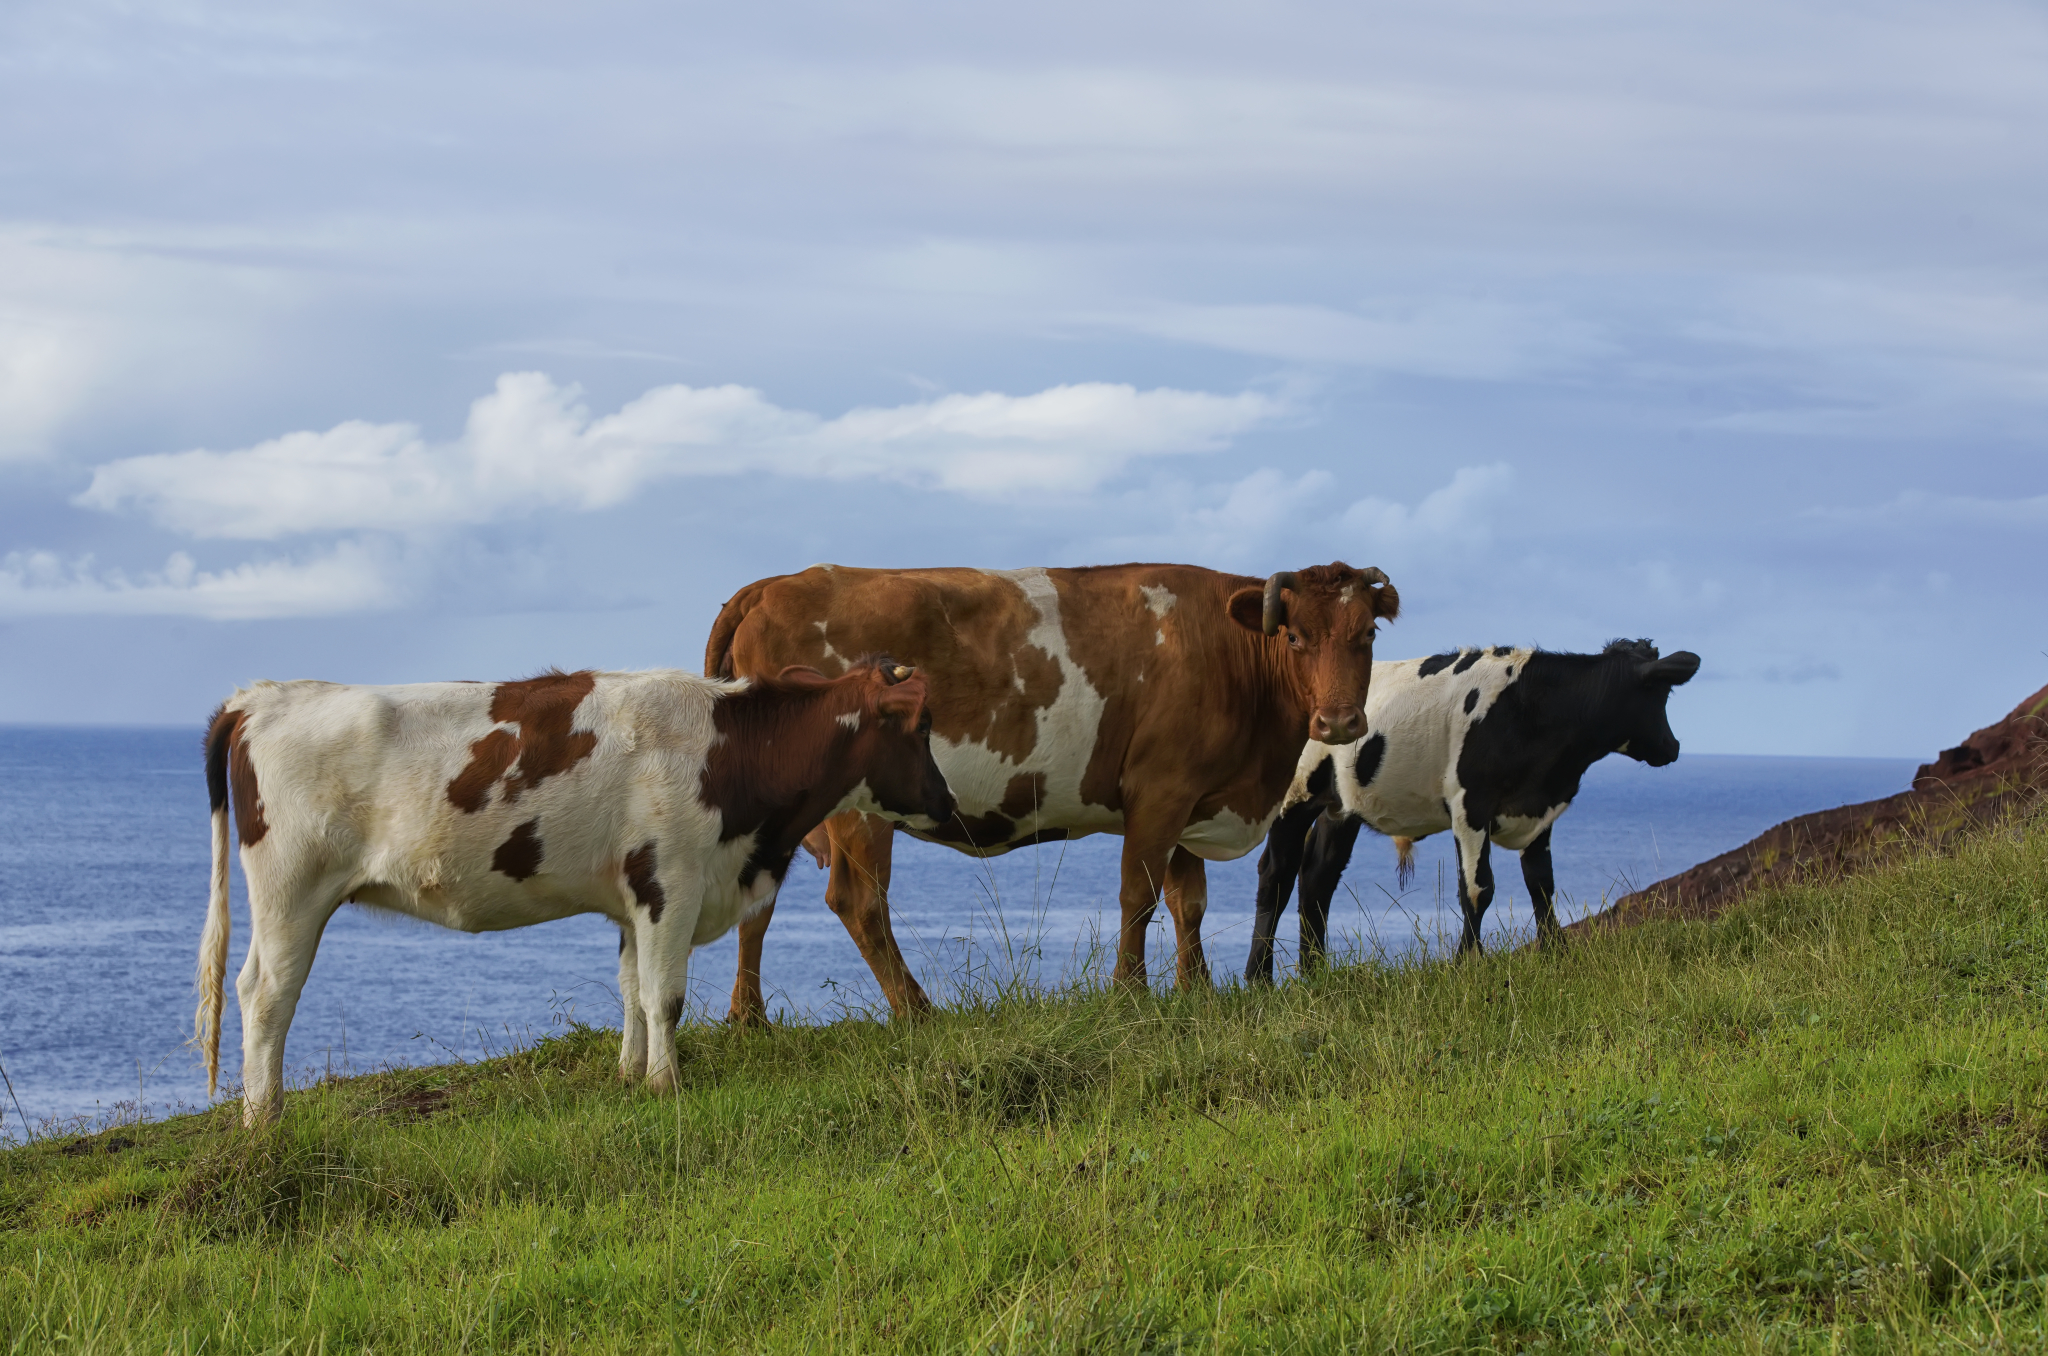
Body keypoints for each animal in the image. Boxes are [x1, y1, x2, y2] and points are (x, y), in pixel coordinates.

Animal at [195, 659, 954, 1122]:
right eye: (921, 726)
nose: (949, 806)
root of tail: (264, 695)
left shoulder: (632, 897)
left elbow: (631, 991)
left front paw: (630, 1076)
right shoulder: (670, 882)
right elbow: (665, 997)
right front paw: (667, 1085)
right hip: (291, 893)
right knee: (265, 996)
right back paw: (265, 1119)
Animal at [700, 561, 1392, 1020]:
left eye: (1367, 635)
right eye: (1295, 637)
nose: (1338, 722)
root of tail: (772, 586)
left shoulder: (1189, 795)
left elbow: (1187, 900)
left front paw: (1195, 990)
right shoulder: (1160, 791)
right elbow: (1139, 895)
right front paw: (1131, 993)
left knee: (759, 907)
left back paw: (749, 1019)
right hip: (857, 809)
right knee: (859, 901)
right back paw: (917, 1011)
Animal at [1245, 639, 1695, 979]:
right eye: (1661, 694)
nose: (1673, 747)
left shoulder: (1539, 814)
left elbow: (1541, 885)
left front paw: (1556, 954)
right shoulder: (1470, 807)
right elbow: (1478, 889)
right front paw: (1468, 963)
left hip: (1340, 808)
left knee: (1317, 878)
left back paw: (1316, 974)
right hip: (1295, 797)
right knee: (1276, 876)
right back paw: (1259, 979)